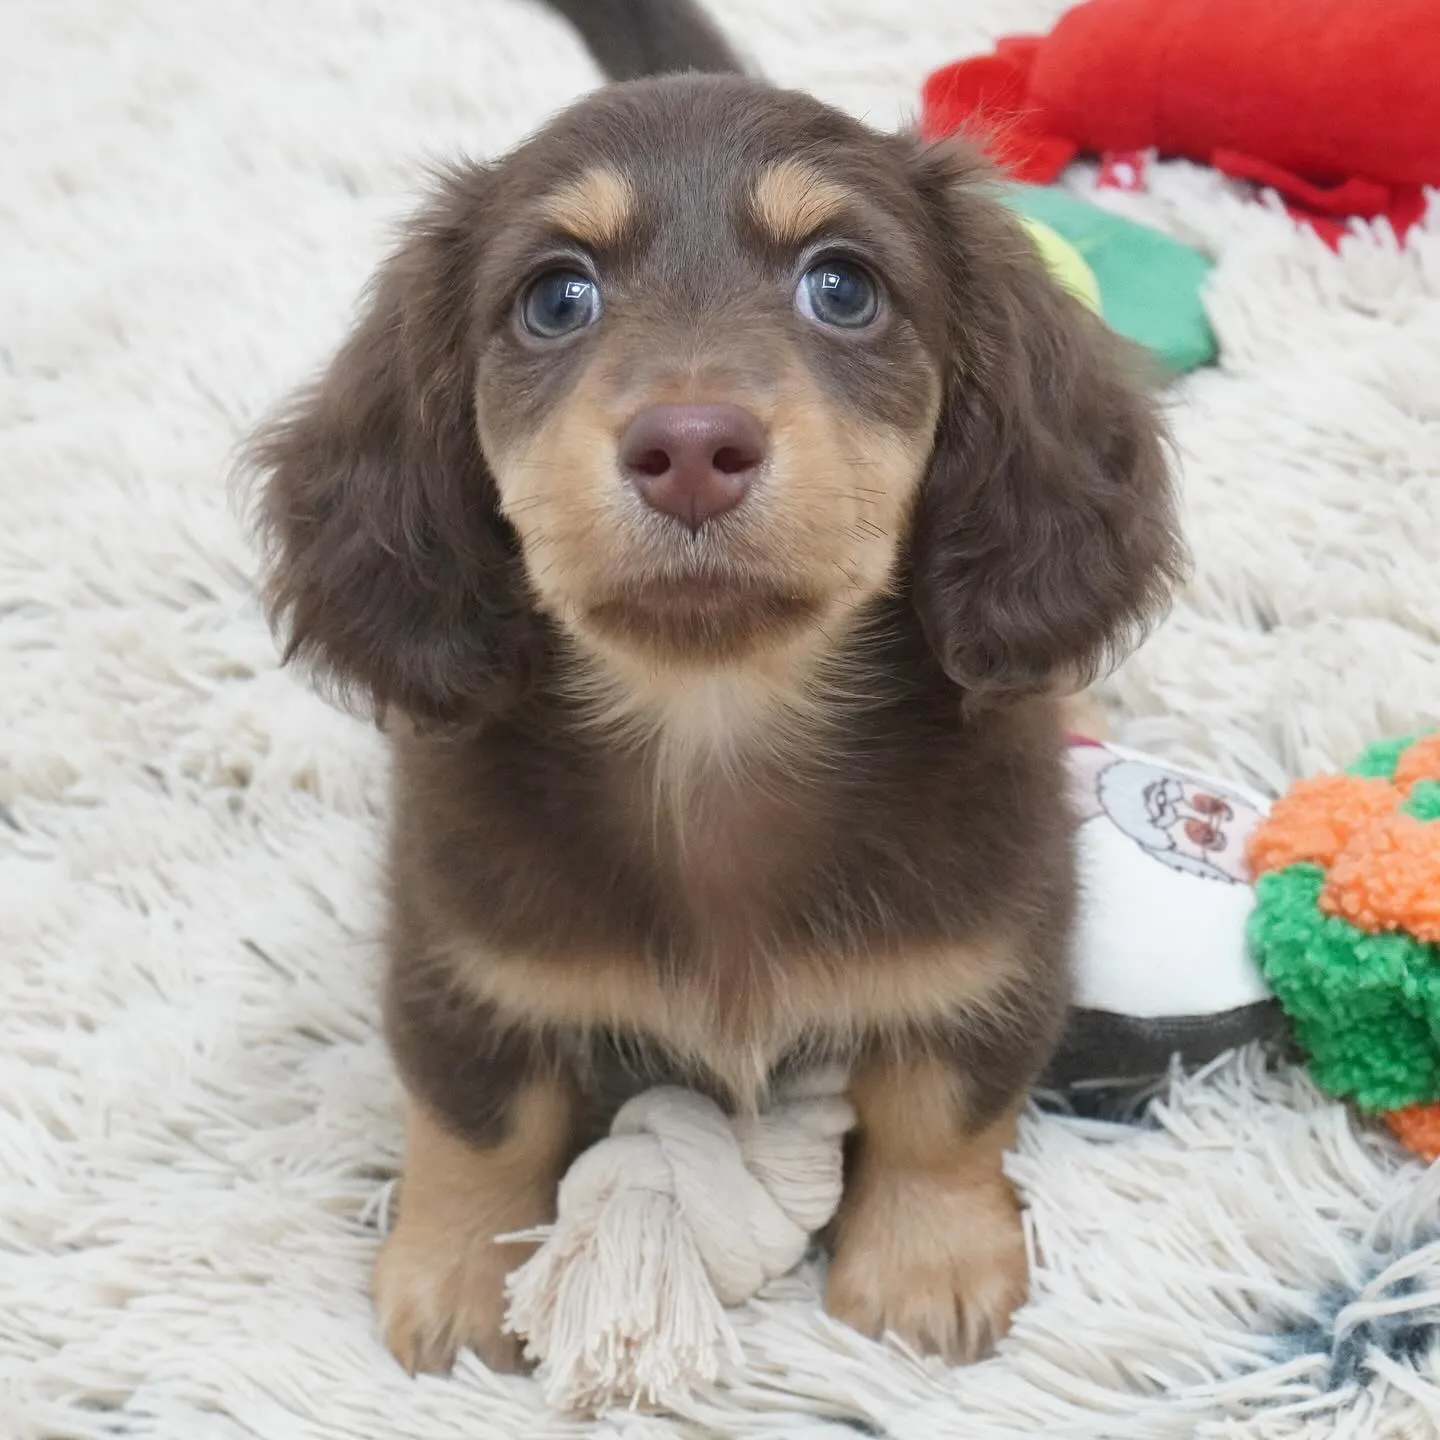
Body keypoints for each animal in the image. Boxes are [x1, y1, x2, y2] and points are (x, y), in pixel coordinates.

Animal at [244, 0, 1180, 1370]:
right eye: (556, 297)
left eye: (842, 286)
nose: (690, 446)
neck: (714, 732)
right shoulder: (457, 959)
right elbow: (478, 1127)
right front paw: (459, 1277)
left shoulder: (996, 941)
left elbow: (941, 1107)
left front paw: (928, 1262)